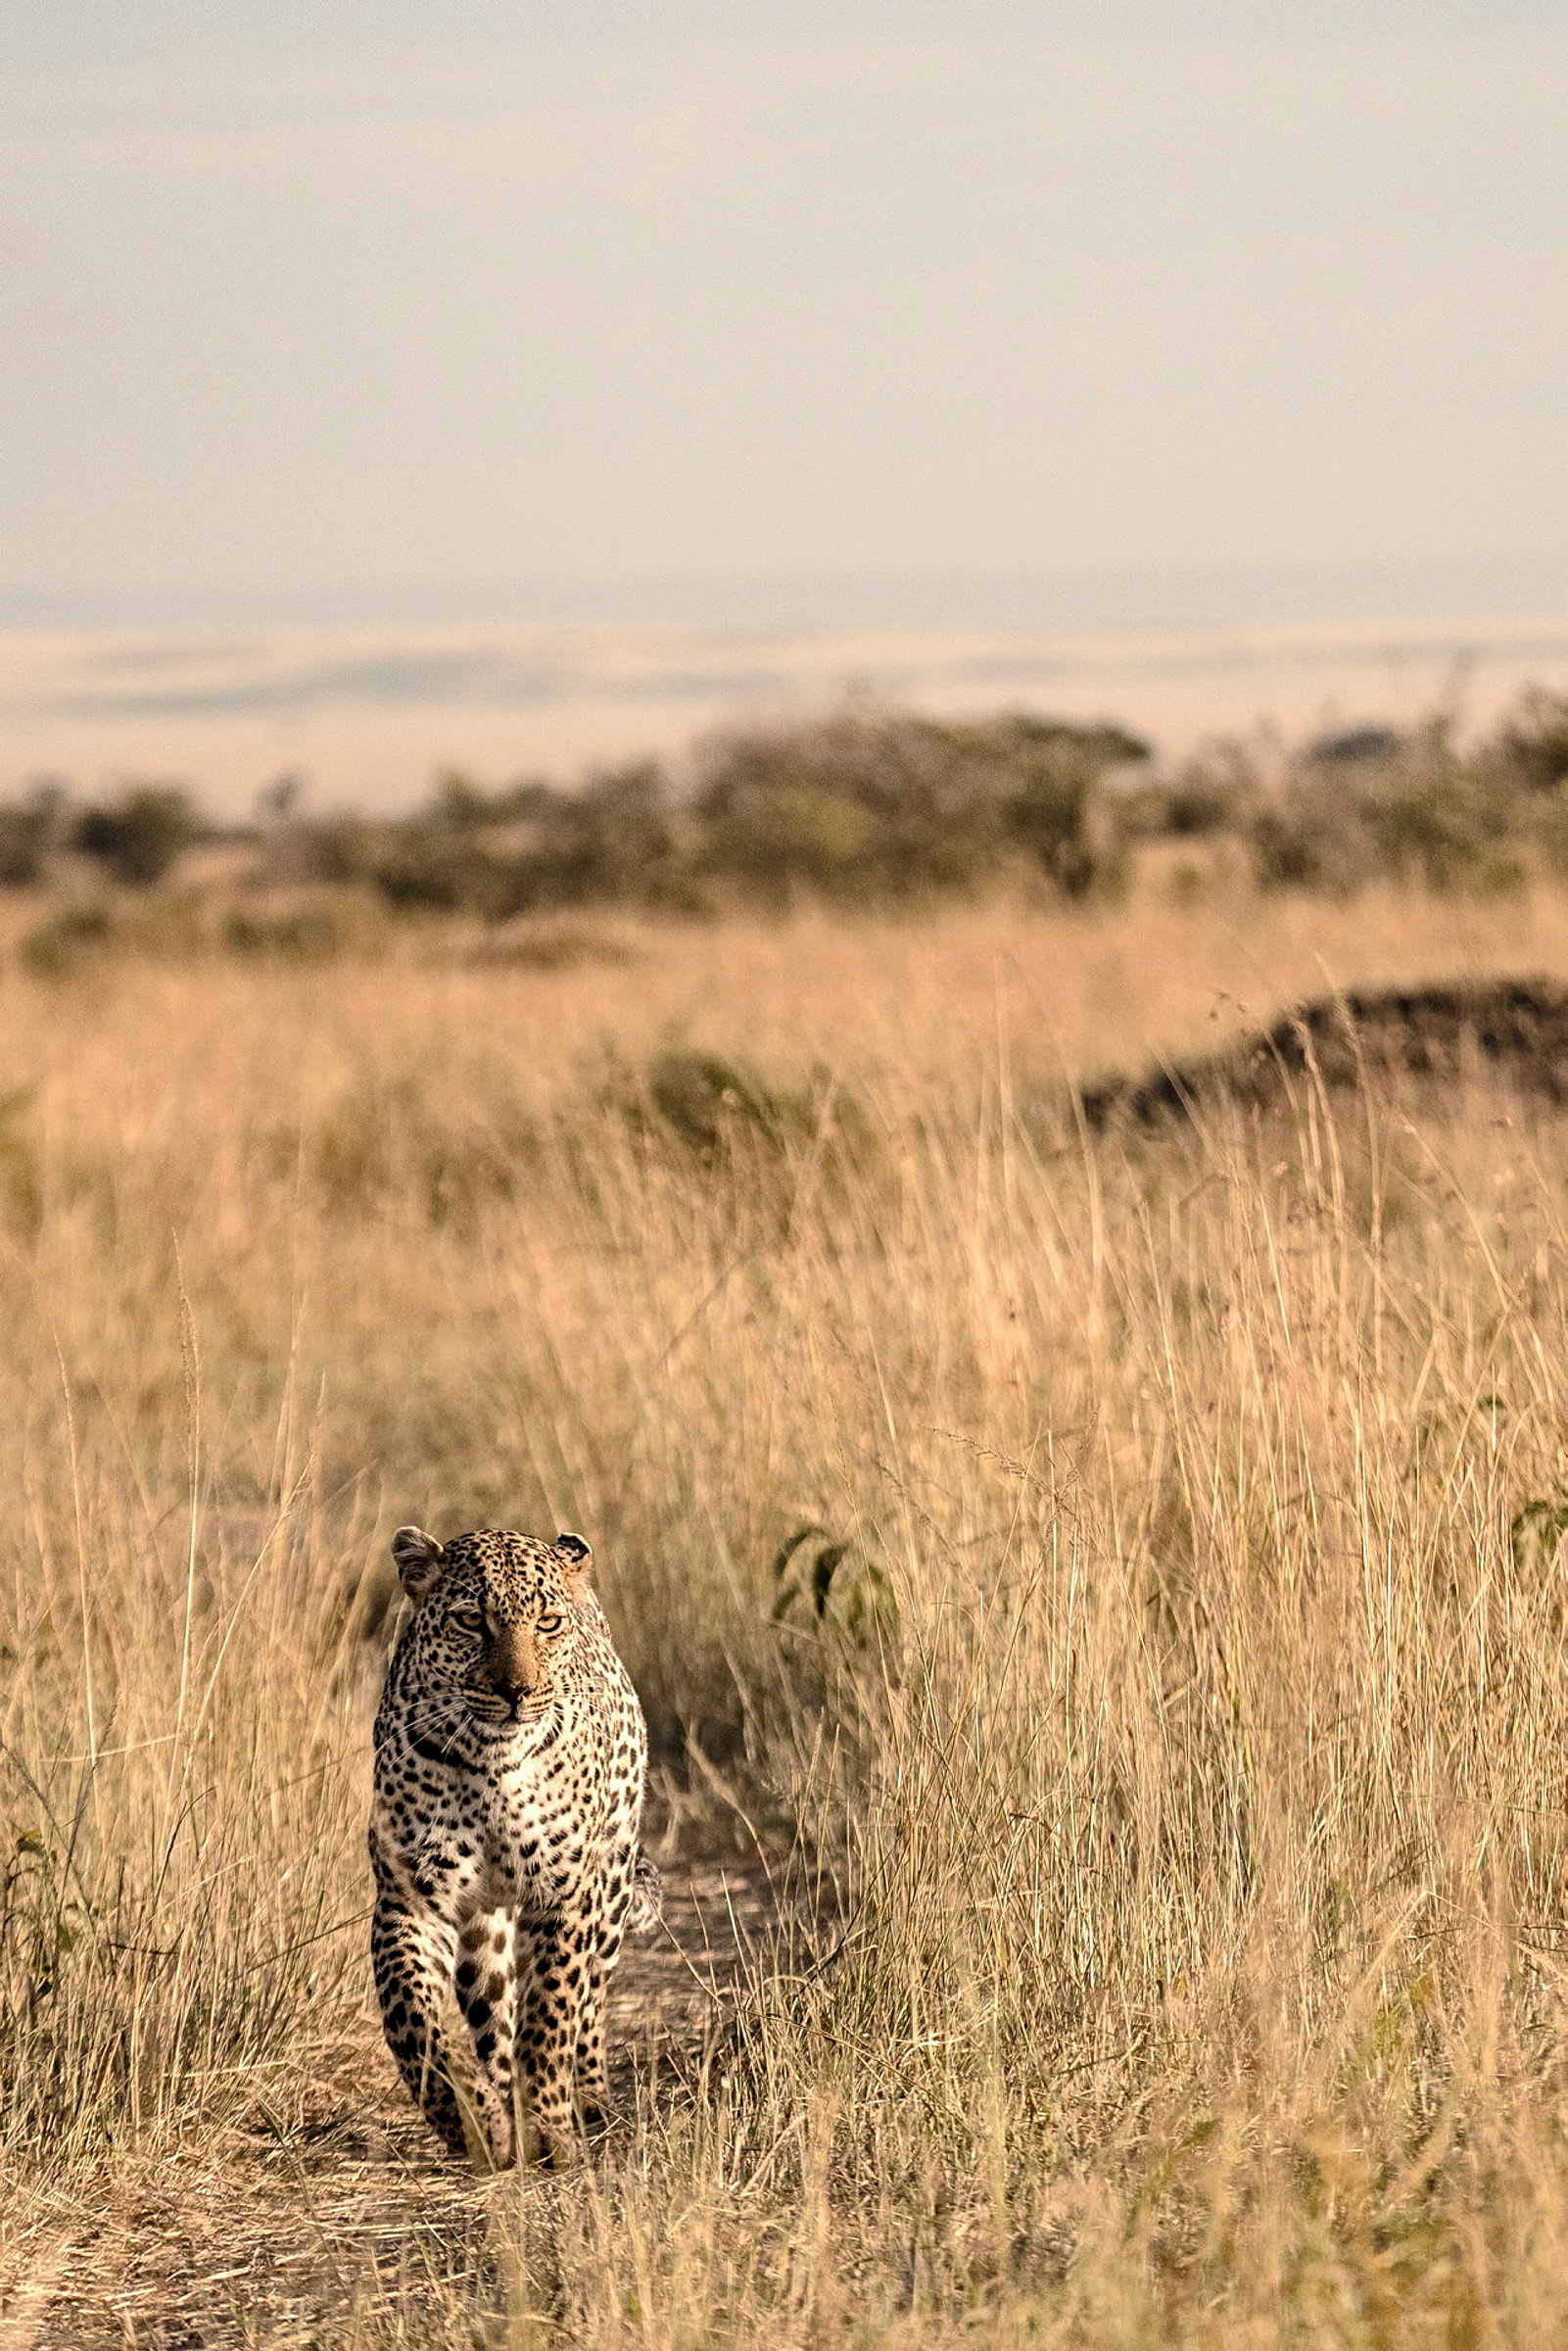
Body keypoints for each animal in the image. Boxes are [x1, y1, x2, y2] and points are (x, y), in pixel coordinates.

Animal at [367, 1523, 655, 2168]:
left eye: (547, 1623)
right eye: (471, 1621)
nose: (517, 1692)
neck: (492, 1762)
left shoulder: (565, 1896)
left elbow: (551, 2012)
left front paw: (550, 2127)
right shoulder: (410, 1900)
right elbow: (413, 2021)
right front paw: (472, 2122)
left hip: (613, 1877)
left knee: (591, 1999)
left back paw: (589, 2102)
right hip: (485, 1925)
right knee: (492, 2014)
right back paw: (503, 2109)